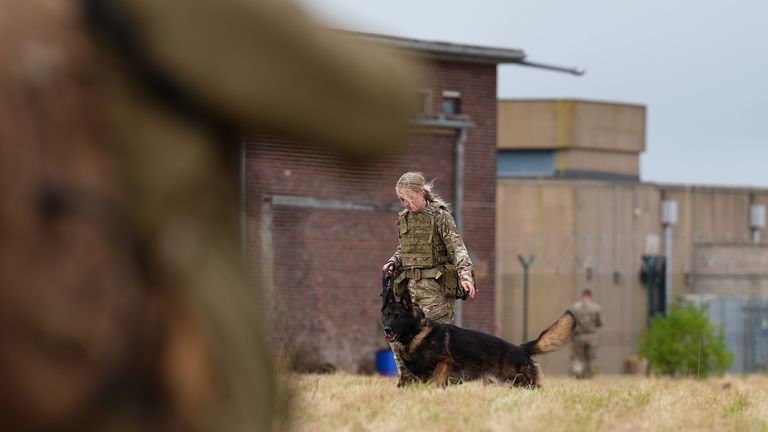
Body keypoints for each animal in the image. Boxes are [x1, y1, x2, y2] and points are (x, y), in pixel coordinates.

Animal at [380, 280, 572, 388]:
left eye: (398, 316)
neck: (416, 333)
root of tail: (521, 348)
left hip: (522, 381)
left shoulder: (444, 363)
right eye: (387, 315)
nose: (387, 330)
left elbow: (436, 381)